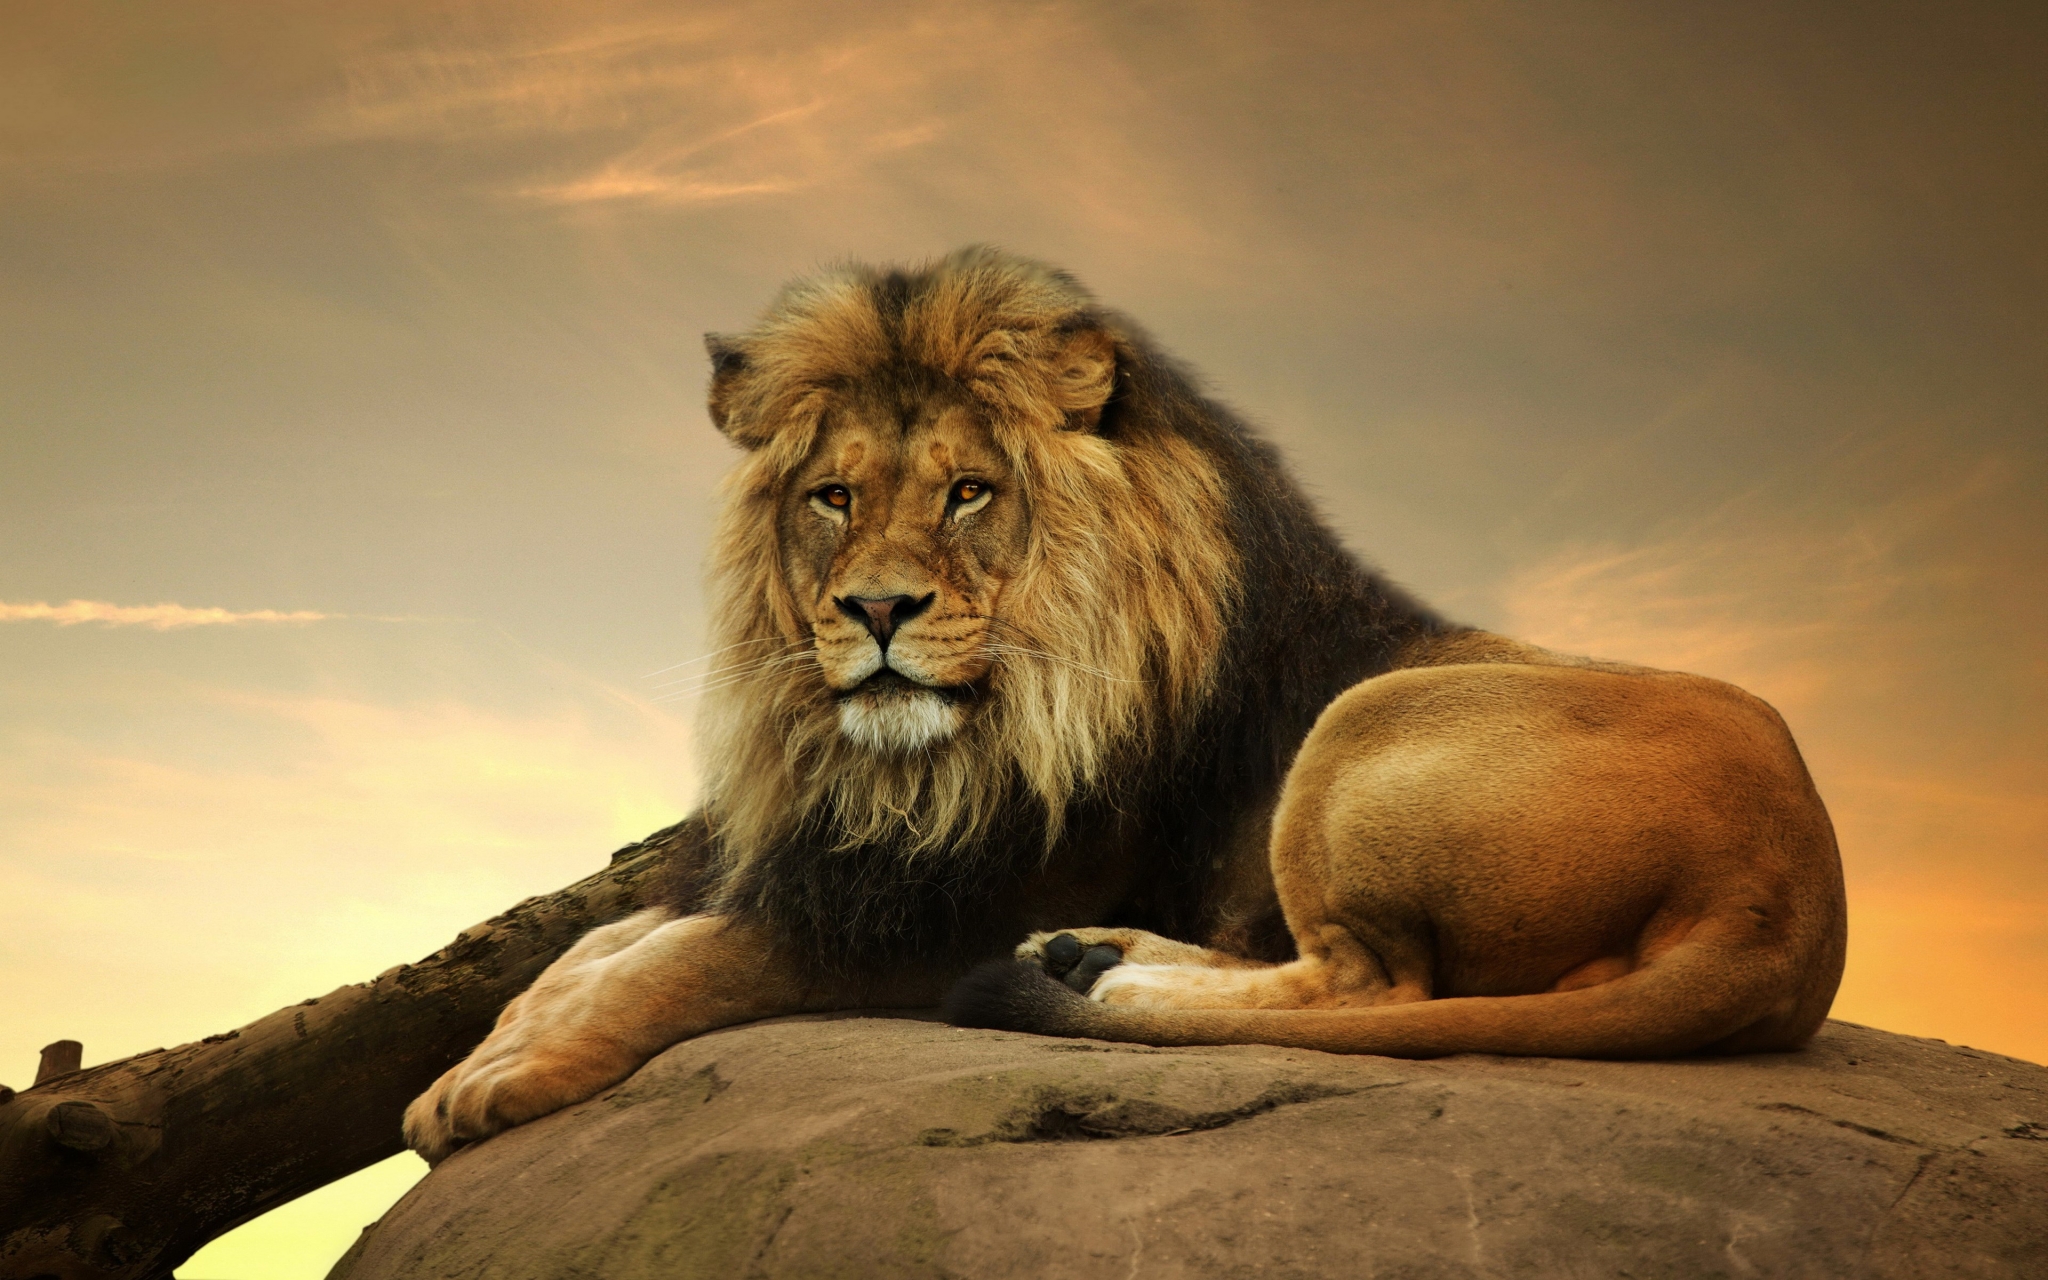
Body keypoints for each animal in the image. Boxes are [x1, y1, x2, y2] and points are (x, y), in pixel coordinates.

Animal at [402, 247, 1846, 1164]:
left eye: (967, 493)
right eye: (832, 498)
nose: (876, 611)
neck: (919, 761)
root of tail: (1790, 904)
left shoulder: (927, 913)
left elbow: (685, 960)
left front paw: (507, 1078)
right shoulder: (832, 859)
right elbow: (598, 945)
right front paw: (480, 1055)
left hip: (1362, 729)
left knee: (1367, 984)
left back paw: (1100, 974)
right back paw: (1092, 959)